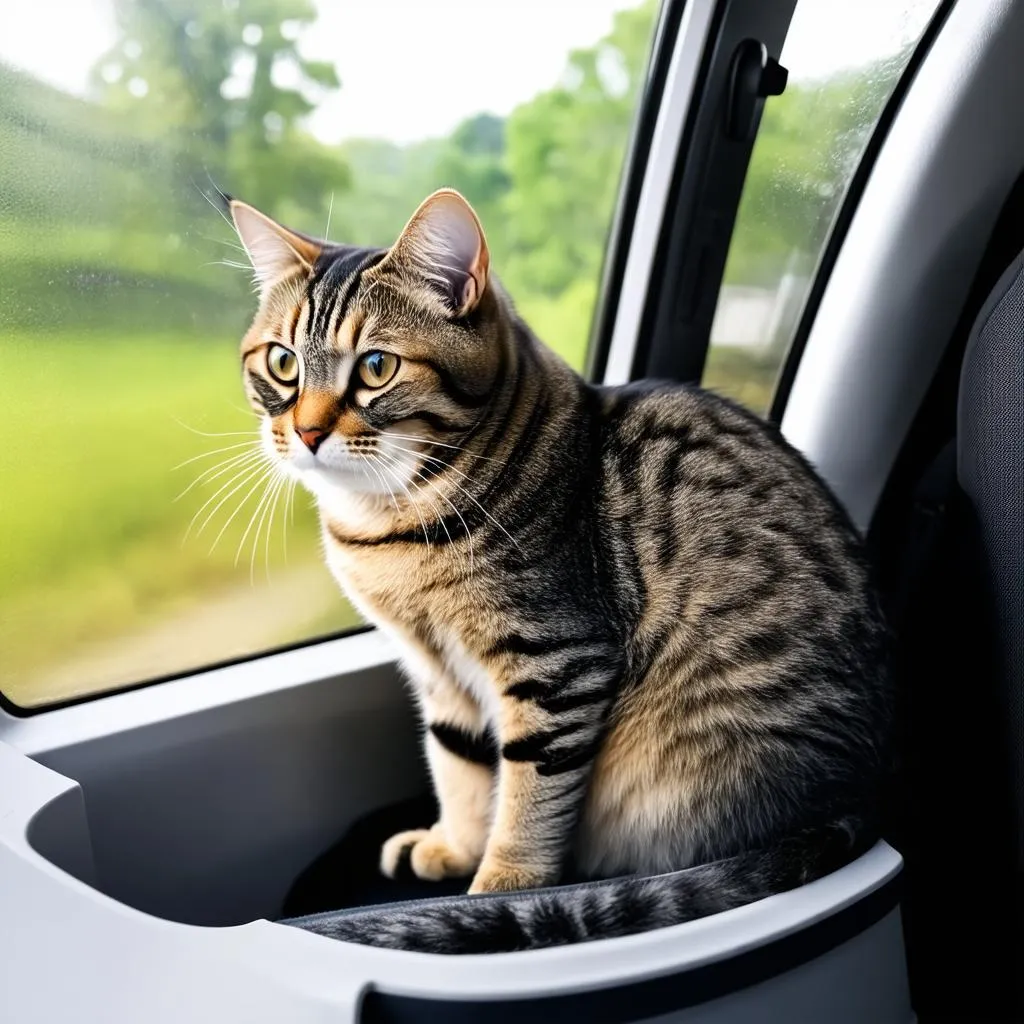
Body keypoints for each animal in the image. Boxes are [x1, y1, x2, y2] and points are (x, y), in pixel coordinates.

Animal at [228, 188, 892, 954]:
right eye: (282, 363)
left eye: (375, 367)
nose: (305, 431)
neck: (389, 523)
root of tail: (859, 797)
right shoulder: (436, 670)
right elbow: (458, 766)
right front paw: (454, 846)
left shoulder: (557, 662)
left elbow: (528, 799)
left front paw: (501, 889)